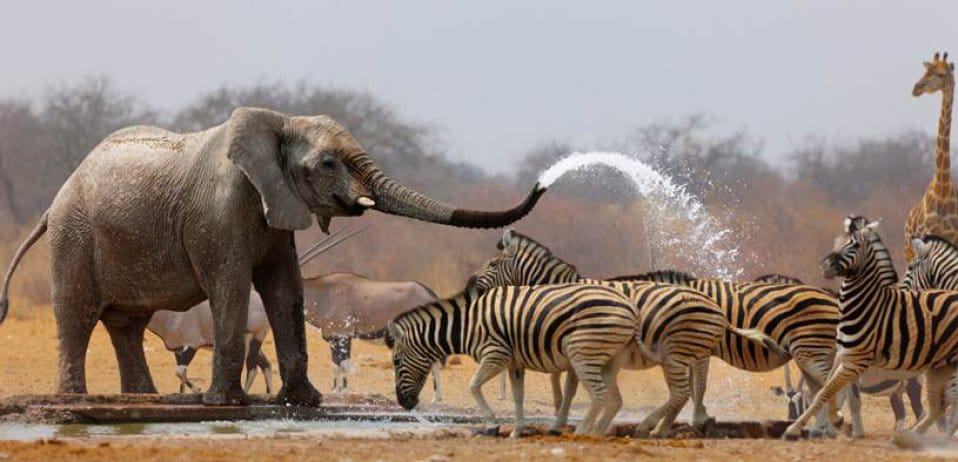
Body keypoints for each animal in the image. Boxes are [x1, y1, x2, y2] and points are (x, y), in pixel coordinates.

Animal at [0, 107, 545, 406]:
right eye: (328, 163)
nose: (542, 182)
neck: (278, 123)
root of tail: (54, 200)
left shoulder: (277, 206)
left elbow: (285, 289)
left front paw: (304, 402)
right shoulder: (219, 212)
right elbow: (232, 285)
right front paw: (223, 404)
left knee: (127, 324)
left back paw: (143, 399)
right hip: (73, 236)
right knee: (78, 314)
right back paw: (75, 400)